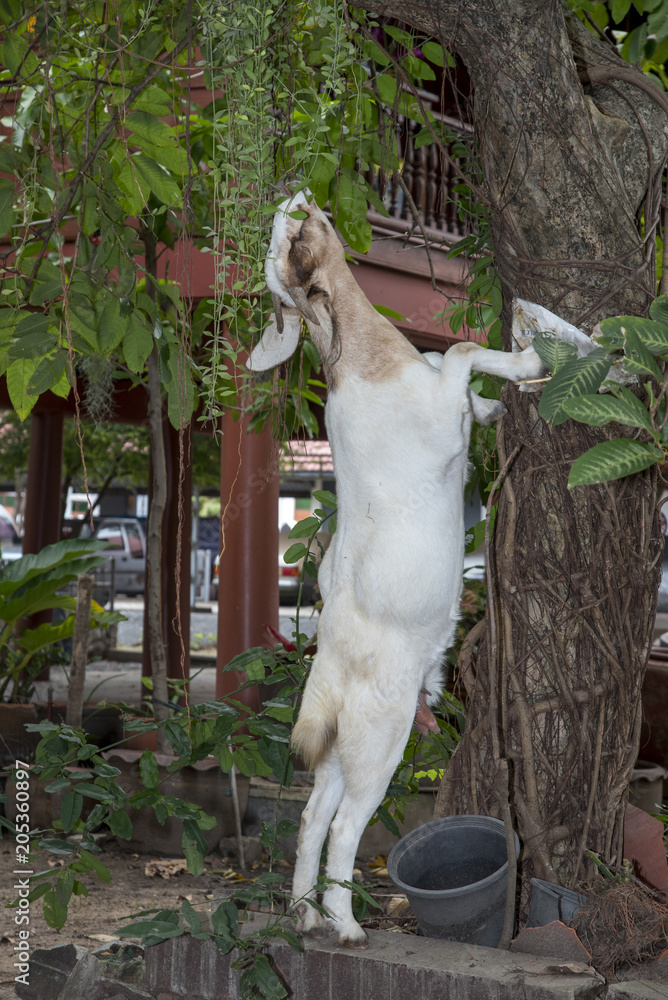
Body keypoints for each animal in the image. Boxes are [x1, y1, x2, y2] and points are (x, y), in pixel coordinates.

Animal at [248, 193, 552, 948]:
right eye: (289, 246)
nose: (291, 197)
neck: (363, 354)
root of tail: (330, 664)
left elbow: (453, 358)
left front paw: (495, 403)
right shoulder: (437, 413)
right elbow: (462, 351)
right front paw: (526, 361)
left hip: (340, 747)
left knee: (311, 818)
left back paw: (304, 912)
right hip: (379, 744)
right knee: (345, 829)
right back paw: (344, 923)